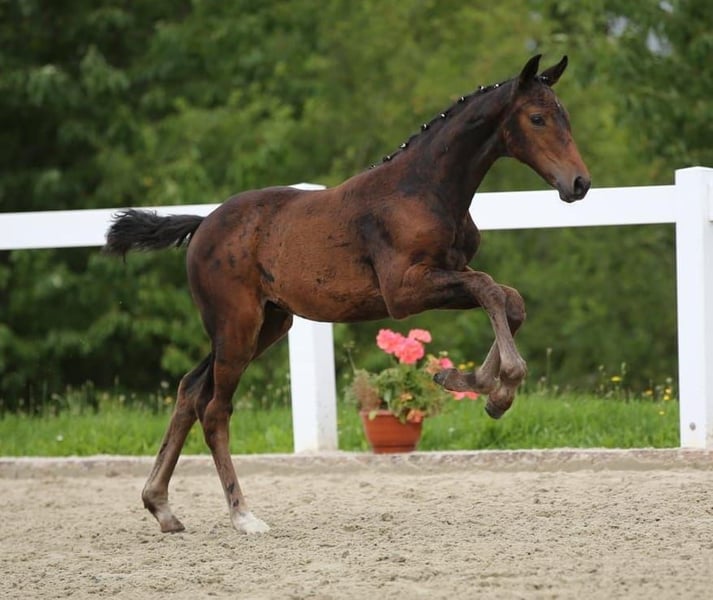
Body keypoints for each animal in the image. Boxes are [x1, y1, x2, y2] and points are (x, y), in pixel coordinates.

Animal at [104, 54, 590, 535]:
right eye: (538, 118)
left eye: (566, 116)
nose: (580, 183)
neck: (423, 189)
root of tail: (202, 224)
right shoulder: (404, 291)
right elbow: (489, 290)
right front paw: (499, 387)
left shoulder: (449, 272)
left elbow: (509, 300)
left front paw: (471, 383)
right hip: (237, 326)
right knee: (214, 410)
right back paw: (243, 516)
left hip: (267, 324)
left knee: (189, 389)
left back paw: (162, 507)